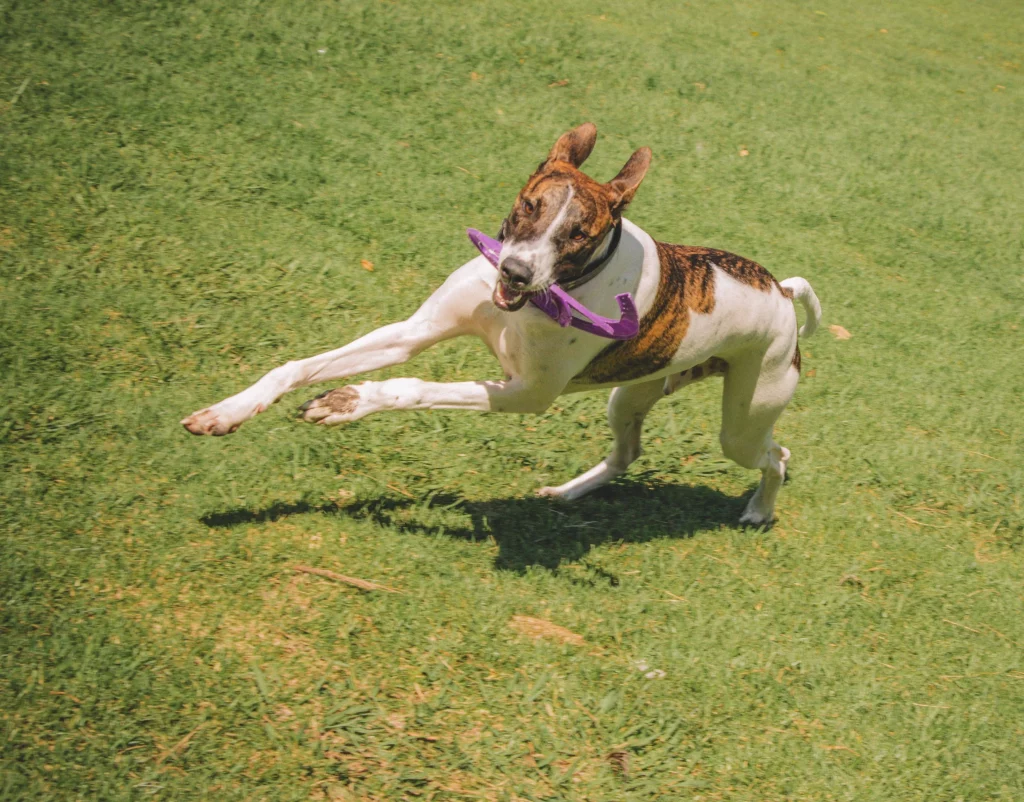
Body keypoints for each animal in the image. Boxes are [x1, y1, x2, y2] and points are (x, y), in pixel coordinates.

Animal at [186, 123, 823, 528]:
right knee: (626, 453)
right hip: (629, 394)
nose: (515, 271)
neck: (542, 299)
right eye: (529, 205)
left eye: (579, 234)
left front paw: (349, 402)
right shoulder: (415, 331)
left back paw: (759, 510)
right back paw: (565, 492)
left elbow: (413, 388)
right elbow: (296, 366)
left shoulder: (524, 394)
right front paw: (226, 412)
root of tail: (779, 290)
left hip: (745, 418)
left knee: (777, 455)